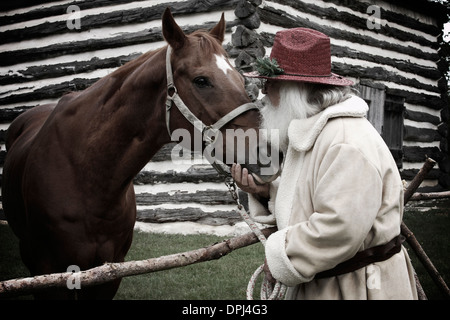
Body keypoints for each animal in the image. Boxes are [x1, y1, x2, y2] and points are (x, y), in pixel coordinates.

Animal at [1, 10, 280, 300]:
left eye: (240, 78)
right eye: (201, 80)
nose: (270, 152)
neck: (85, 177)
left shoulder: (109, 273)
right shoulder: (50, 273)